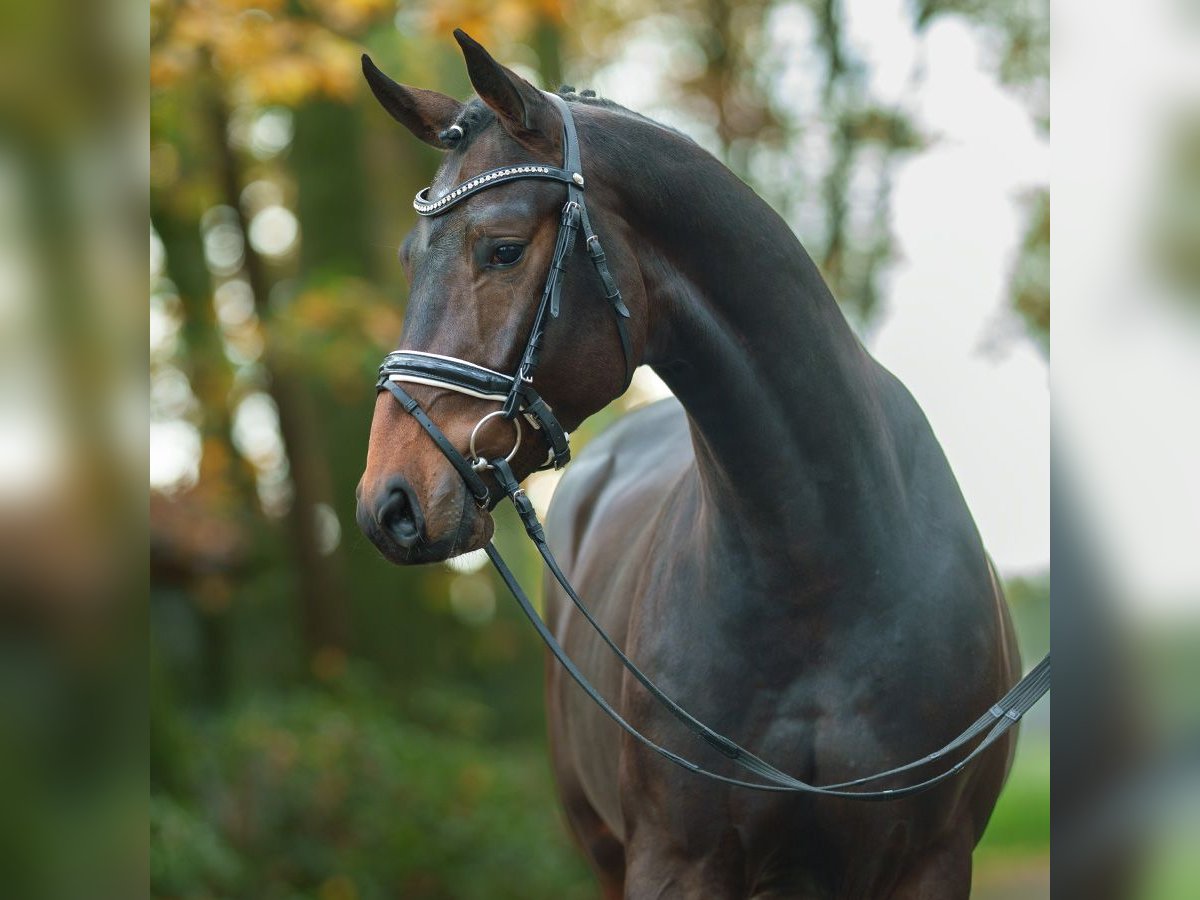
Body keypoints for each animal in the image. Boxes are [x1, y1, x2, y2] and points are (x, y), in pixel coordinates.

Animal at [352, 30, 1022, 900]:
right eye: (408, 257)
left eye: (502, 250)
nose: (388, 503)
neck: (823, 568)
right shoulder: (675, 860)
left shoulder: (930, 862)